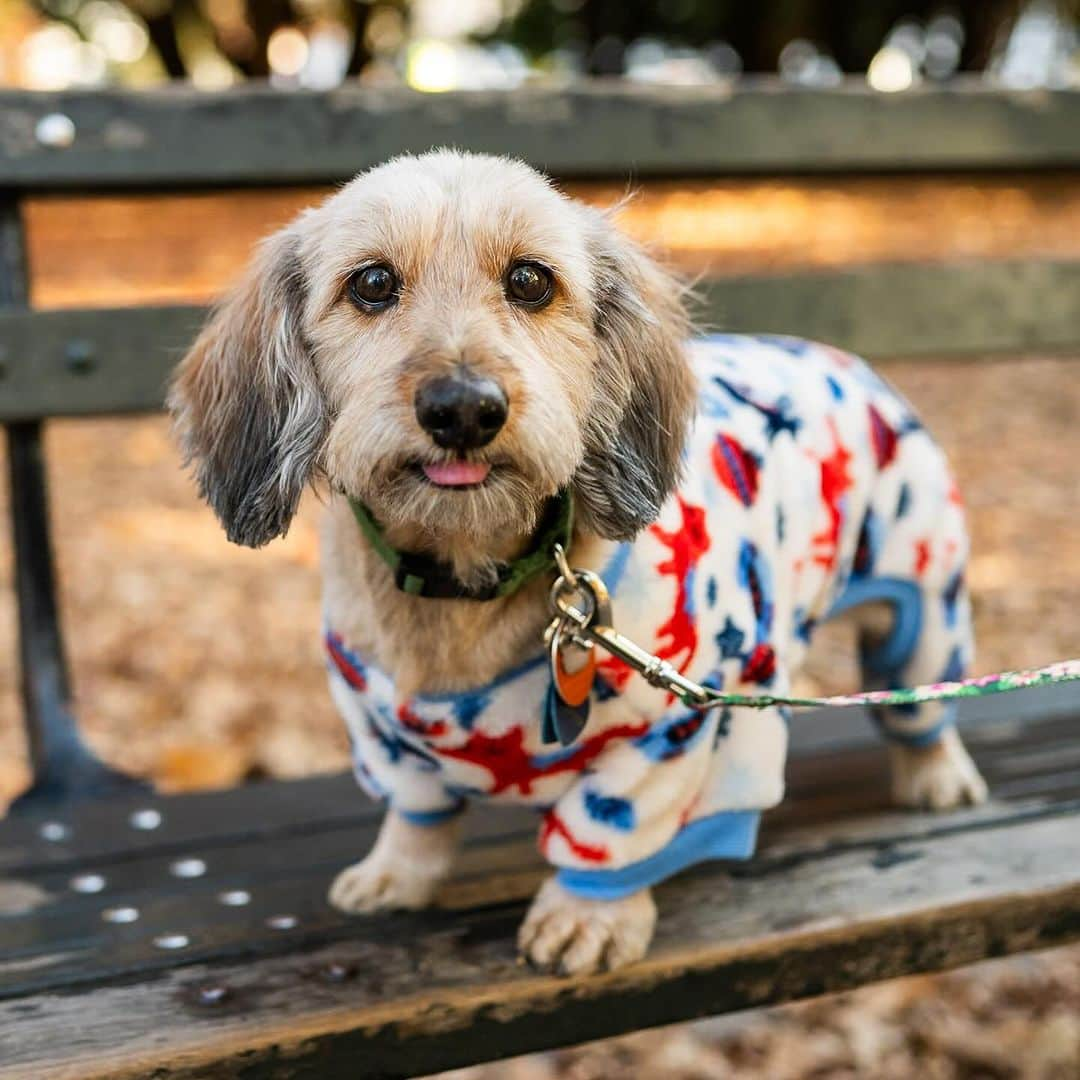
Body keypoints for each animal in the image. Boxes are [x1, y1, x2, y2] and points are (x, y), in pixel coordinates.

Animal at [172, 147, 989, 976]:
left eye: (530, 280)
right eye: (371, 283)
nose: (463, 408)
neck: (469, 582)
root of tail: (840, 356)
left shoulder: (676, 730)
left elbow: (613, 837)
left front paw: (587, 915)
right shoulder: (383, 730)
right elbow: (417, 813)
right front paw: (395, 871)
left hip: (924, 601)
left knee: (921, 703)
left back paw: (938, 774)